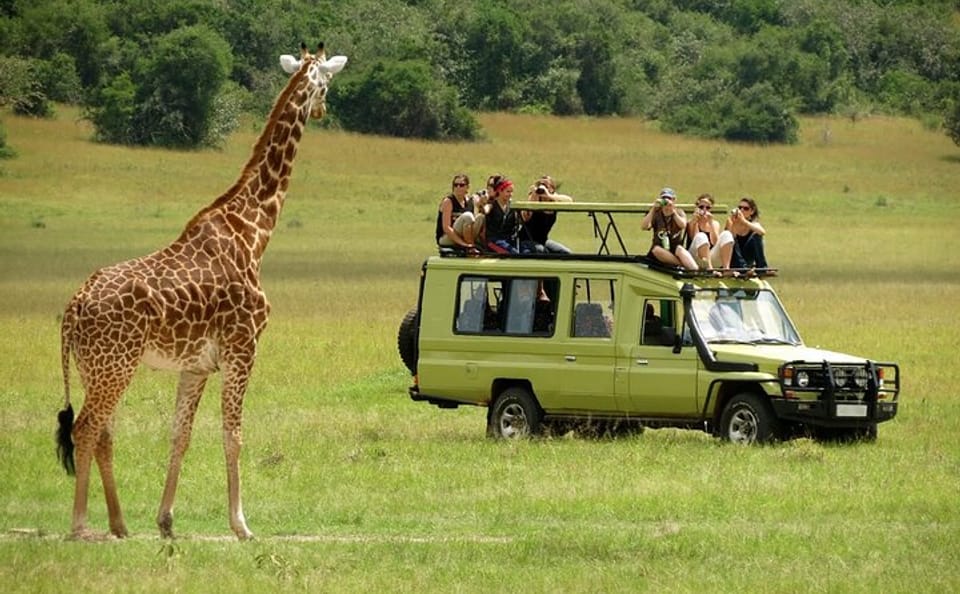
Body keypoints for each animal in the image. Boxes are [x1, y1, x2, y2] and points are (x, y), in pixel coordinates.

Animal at [55, 43, 347, 540]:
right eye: (326, 83)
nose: (325, 109)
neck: (254, 230)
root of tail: (74, 306)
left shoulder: (195, 365)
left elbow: (180, 434)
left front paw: (166, 521)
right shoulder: (242, 348)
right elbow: (234, 434)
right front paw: (242, 525)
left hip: (96, 366)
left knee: (104, 432)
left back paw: (119, 523)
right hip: (116, 364)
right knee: (86, 428)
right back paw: (79, 525)